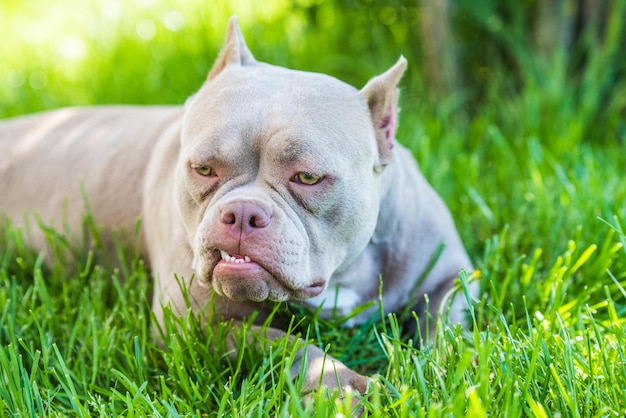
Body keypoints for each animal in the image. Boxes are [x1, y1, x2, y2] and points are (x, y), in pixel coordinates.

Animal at [0, 16, 472, 396]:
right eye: (204, 168)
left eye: (307, 178)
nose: (243, 213)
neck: (342, 274)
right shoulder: (193, 327)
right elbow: (290, 346)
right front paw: (343, 389)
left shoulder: (451, 274)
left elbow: (448, 324)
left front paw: (443, 370)